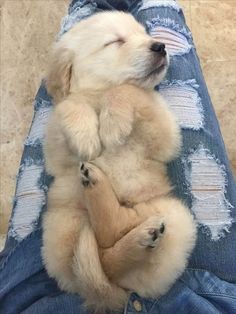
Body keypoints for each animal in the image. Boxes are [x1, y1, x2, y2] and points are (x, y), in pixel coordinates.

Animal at [41, 11, 196, 312]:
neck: (99, 95)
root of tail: (123, 292)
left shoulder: (164, 131)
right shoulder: (54, 145)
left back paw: (140, 230)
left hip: (175, 216)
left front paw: (112, 125)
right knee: (102, 256)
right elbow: (69, 104)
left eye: (144, 34)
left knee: (115, 235)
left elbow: (128, 91)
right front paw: (87, 135)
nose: (160, 46)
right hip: (61, 226)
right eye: (115, 41)